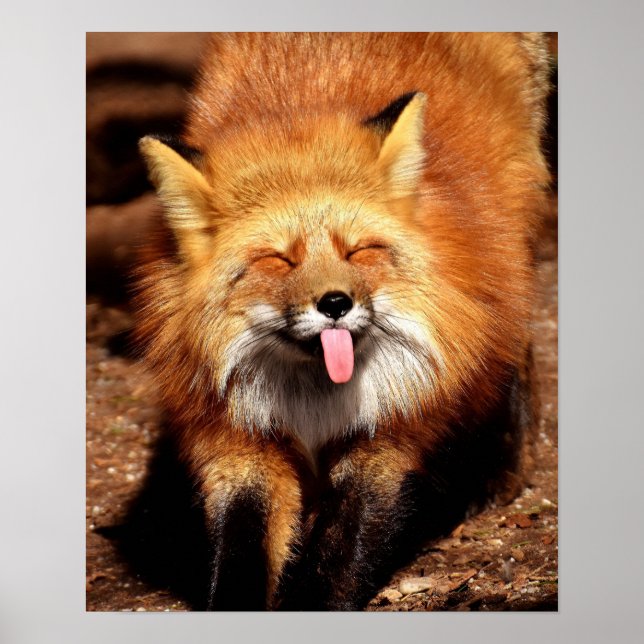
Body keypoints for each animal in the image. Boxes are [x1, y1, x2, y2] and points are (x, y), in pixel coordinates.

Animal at [134, 32, 552, 610]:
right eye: (279, 259)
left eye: (358, 251)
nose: (335, 303)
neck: (315, 401)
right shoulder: (238, 439)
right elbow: (241, 543)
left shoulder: (389, 432)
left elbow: (342, 545)